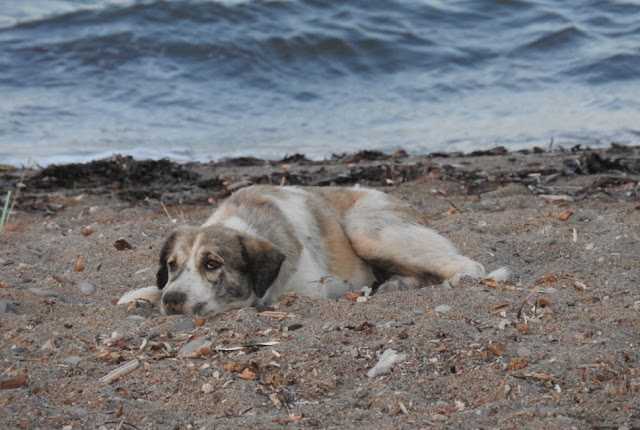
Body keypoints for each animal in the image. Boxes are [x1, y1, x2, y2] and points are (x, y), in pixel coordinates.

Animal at [117, 185, 508, 316]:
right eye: (172, 264)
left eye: (212, 263)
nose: (173, 301)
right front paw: (141, 295)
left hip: (367, 230)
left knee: (469, 264)